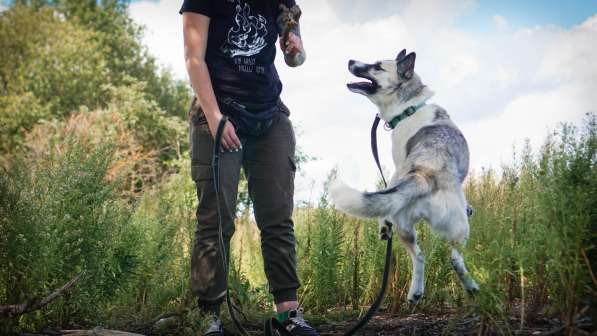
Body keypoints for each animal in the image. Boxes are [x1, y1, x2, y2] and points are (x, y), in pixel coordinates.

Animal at [330, 50, 480, 304]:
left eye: (377, 66)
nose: (350, 61)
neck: (410, 107)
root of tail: (424, 173)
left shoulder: (398, 165)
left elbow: (389, 183)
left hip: (412, 228)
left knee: (427, 256)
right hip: (448, 229)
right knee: (446, 258)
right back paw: (457, 288)